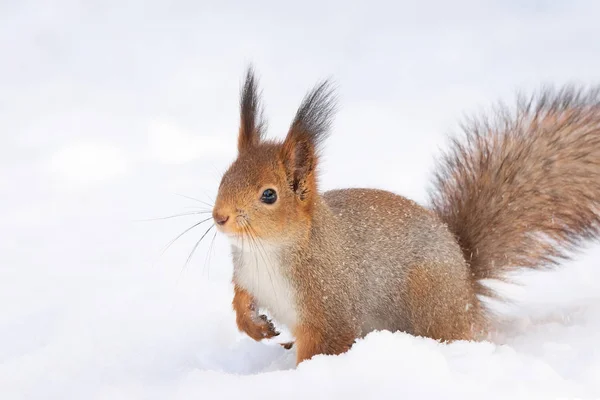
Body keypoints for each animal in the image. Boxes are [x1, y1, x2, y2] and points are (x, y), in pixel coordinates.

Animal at [212, 69, 600, 366]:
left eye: (269, 195)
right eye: (223, 176)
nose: (219, 217)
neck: (266, 249)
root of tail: (467, 282)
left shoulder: (329, 302)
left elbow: (326, 344)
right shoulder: (247, 275)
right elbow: (241, 299)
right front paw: (254, 325)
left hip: (430, 299)